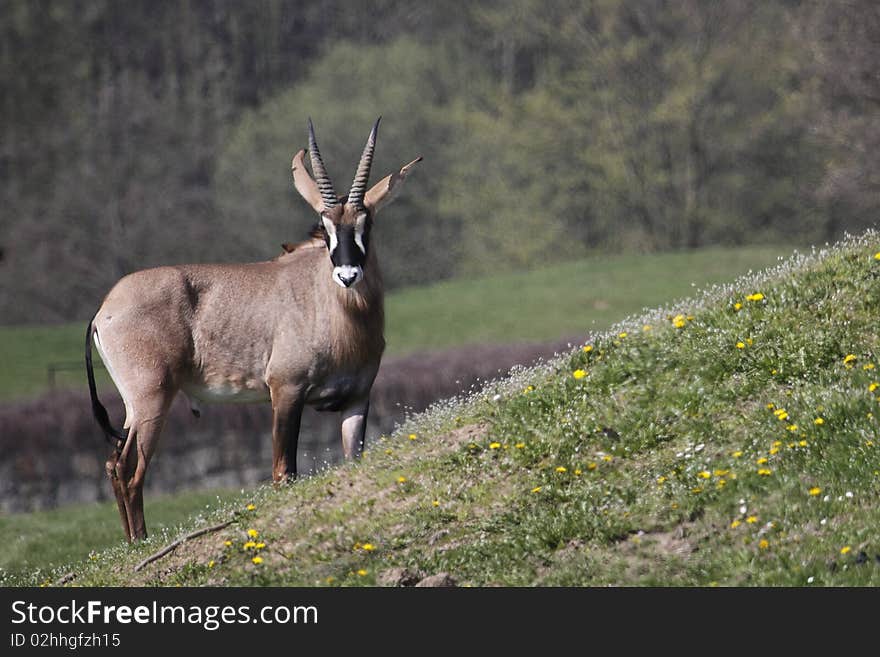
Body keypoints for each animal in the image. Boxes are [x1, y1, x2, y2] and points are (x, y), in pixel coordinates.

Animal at [84, 118, 422, 540]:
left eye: (367, 224)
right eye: (325, 227)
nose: (347, 275)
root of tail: (104, 311)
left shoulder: (357, 400)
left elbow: (353, 459)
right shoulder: (286, 392)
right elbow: (284, 472)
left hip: (136, 407)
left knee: (114, 464)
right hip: (151, 399)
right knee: (130, 469)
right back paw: (141, 543)